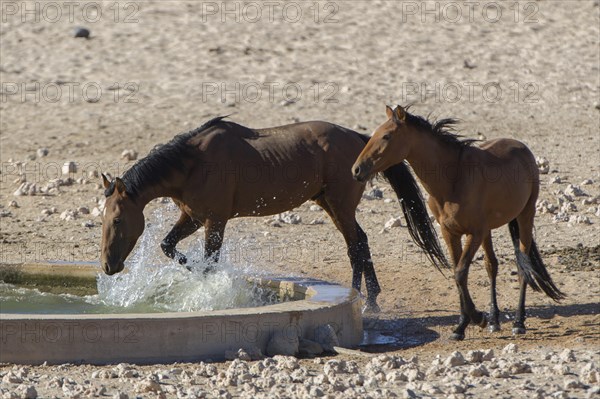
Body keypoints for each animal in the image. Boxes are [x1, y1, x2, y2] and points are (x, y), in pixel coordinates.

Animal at [99, 115, 450, 312]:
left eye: (117, 220)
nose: (107, 266)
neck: (193, 163)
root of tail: (360, 140)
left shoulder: (214, 221)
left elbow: (209, 261)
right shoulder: (192, 217)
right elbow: (168, 246)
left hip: (340, 206)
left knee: (356, 245)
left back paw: (366, 299)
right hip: (331, 205)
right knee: (359, 243)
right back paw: (368, 297)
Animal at [352, 105, 564, 338]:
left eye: (387, 136)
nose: (356, 170)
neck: (453, 179)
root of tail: (522, 148)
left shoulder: (474, 233)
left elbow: (461, 272)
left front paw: (477, 318)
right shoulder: (450, 232)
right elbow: (458, 273)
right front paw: (462, 325)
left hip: (525, 216)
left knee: (522, 267)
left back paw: (518, 322)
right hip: (490, 231)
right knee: (492, 266)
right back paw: (494, 320)